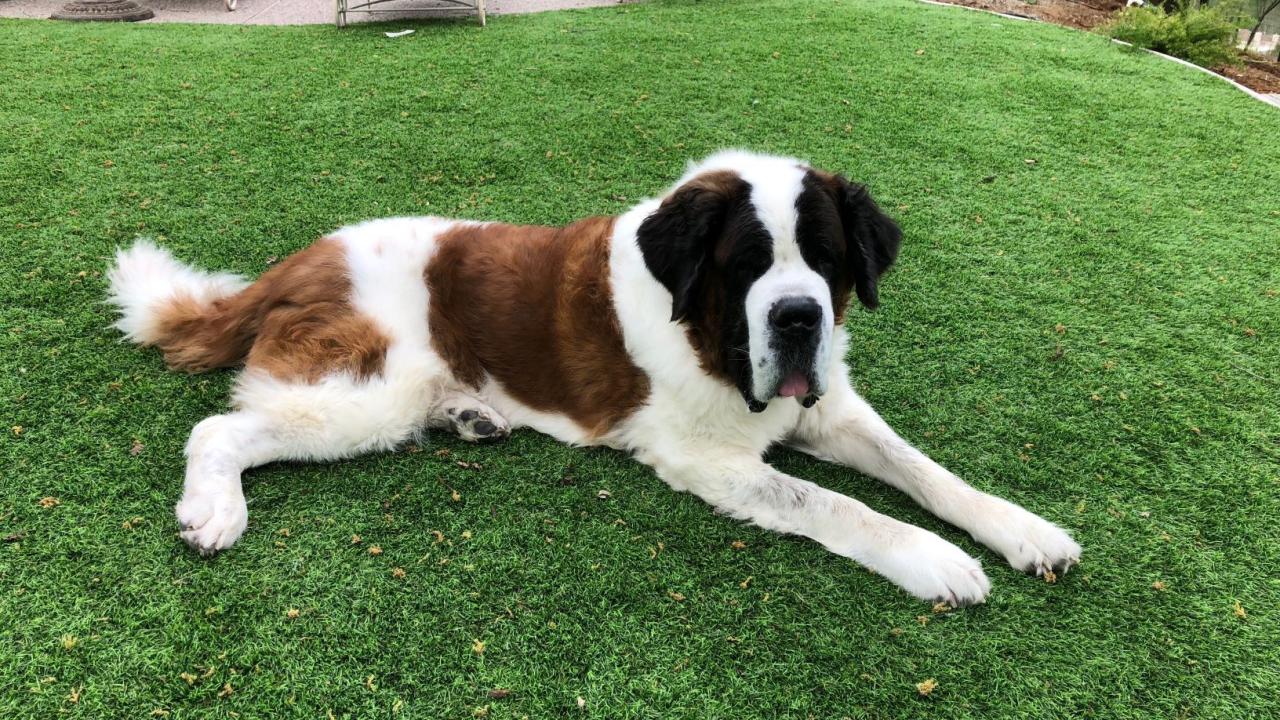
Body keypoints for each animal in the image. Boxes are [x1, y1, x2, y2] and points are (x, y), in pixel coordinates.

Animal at [107, 151, 1080, 604]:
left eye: (829, 261)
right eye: (747, 264)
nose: (801, 318)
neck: (711, 337)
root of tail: (300, 259)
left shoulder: (827, 410)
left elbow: (925, 471)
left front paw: (1022, 529)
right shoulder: (708, 460)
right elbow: (839, 505)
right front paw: (937, 560)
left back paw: (470, 417)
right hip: (367, 390)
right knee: (221, 427)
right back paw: (214, 510)